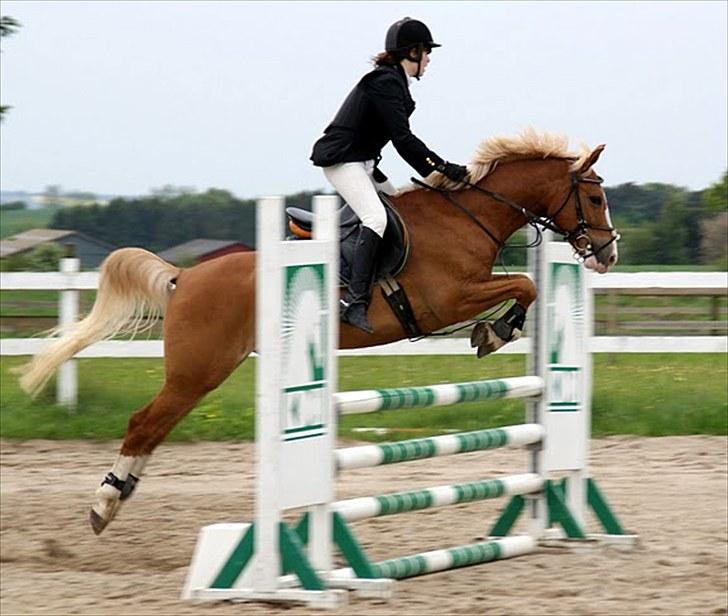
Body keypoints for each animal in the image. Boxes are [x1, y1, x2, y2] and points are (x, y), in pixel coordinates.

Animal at [15, 130, 620, 536]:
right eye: (593, 197)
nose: (608, 253)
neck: (466, 218)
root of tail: (183, 276)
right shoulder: (447, 299)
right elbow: (525, 284)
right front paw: (494, 333)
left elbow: (525, 285)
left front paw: (494, 332)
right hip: (197, 370)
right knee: (144, 424)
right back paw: (104, 505)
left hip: (202, 371)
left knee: (155, 428)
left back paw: (119, 496)